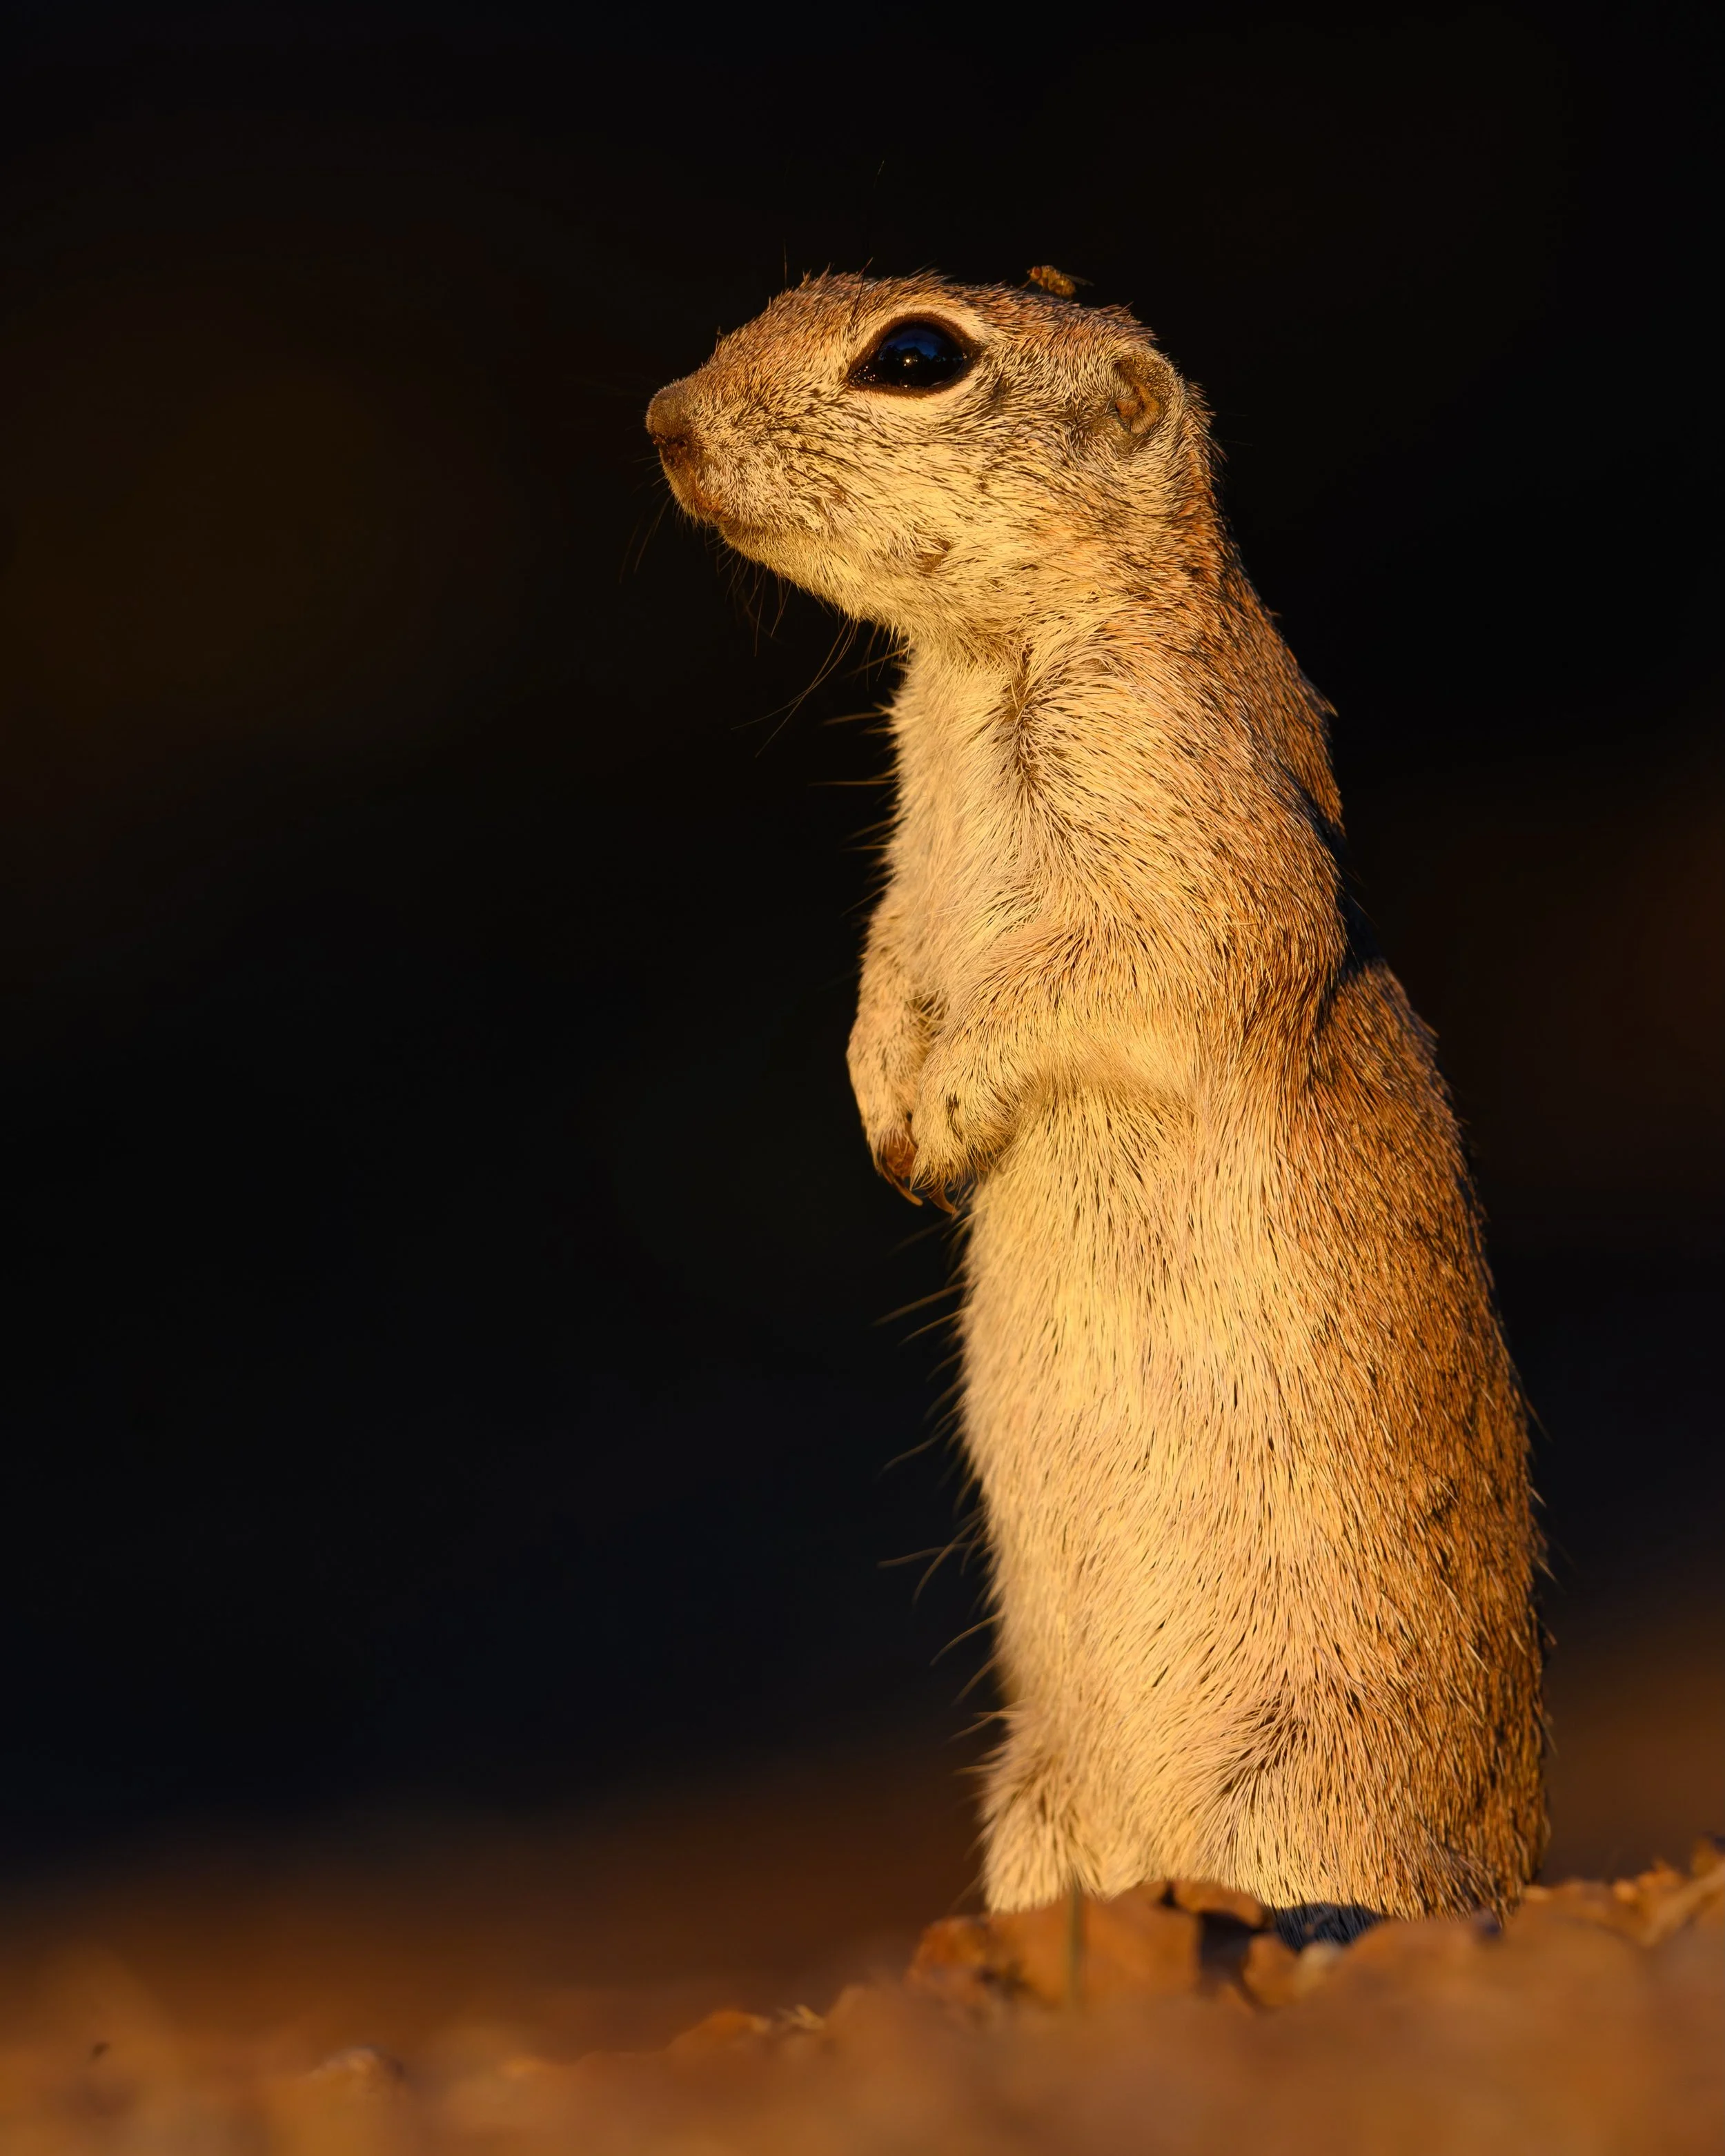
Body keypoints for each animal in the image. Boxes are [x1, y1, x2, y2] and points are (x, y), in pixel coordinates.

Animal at [647, 273, 1544, 1937]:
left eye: (915, 355)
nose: (663, 417)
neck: (978, 667)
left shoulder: (1180, 829)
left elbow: (1094, 982)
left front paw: (935, 1123)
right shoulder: (907, 866)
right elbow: (888, 963)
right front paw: (885, 1114)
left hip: (1296, 1801)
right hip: (1028, 1803)